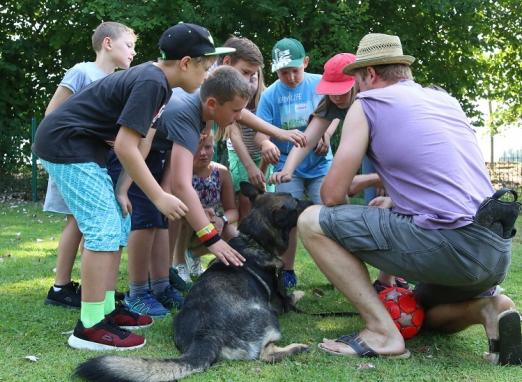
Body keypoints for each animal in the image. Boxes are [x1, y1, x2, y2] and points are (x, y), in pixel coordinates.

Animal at [76, 183, 312, 382]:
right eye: (295, 201)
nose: (310, 202)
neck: (254, 240)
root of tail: (207, 335)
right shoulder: (281, 304)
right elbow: (294, 295)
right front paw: (301, 294)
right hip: (269, 316)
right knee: (267, 355)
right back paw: (299, 347)